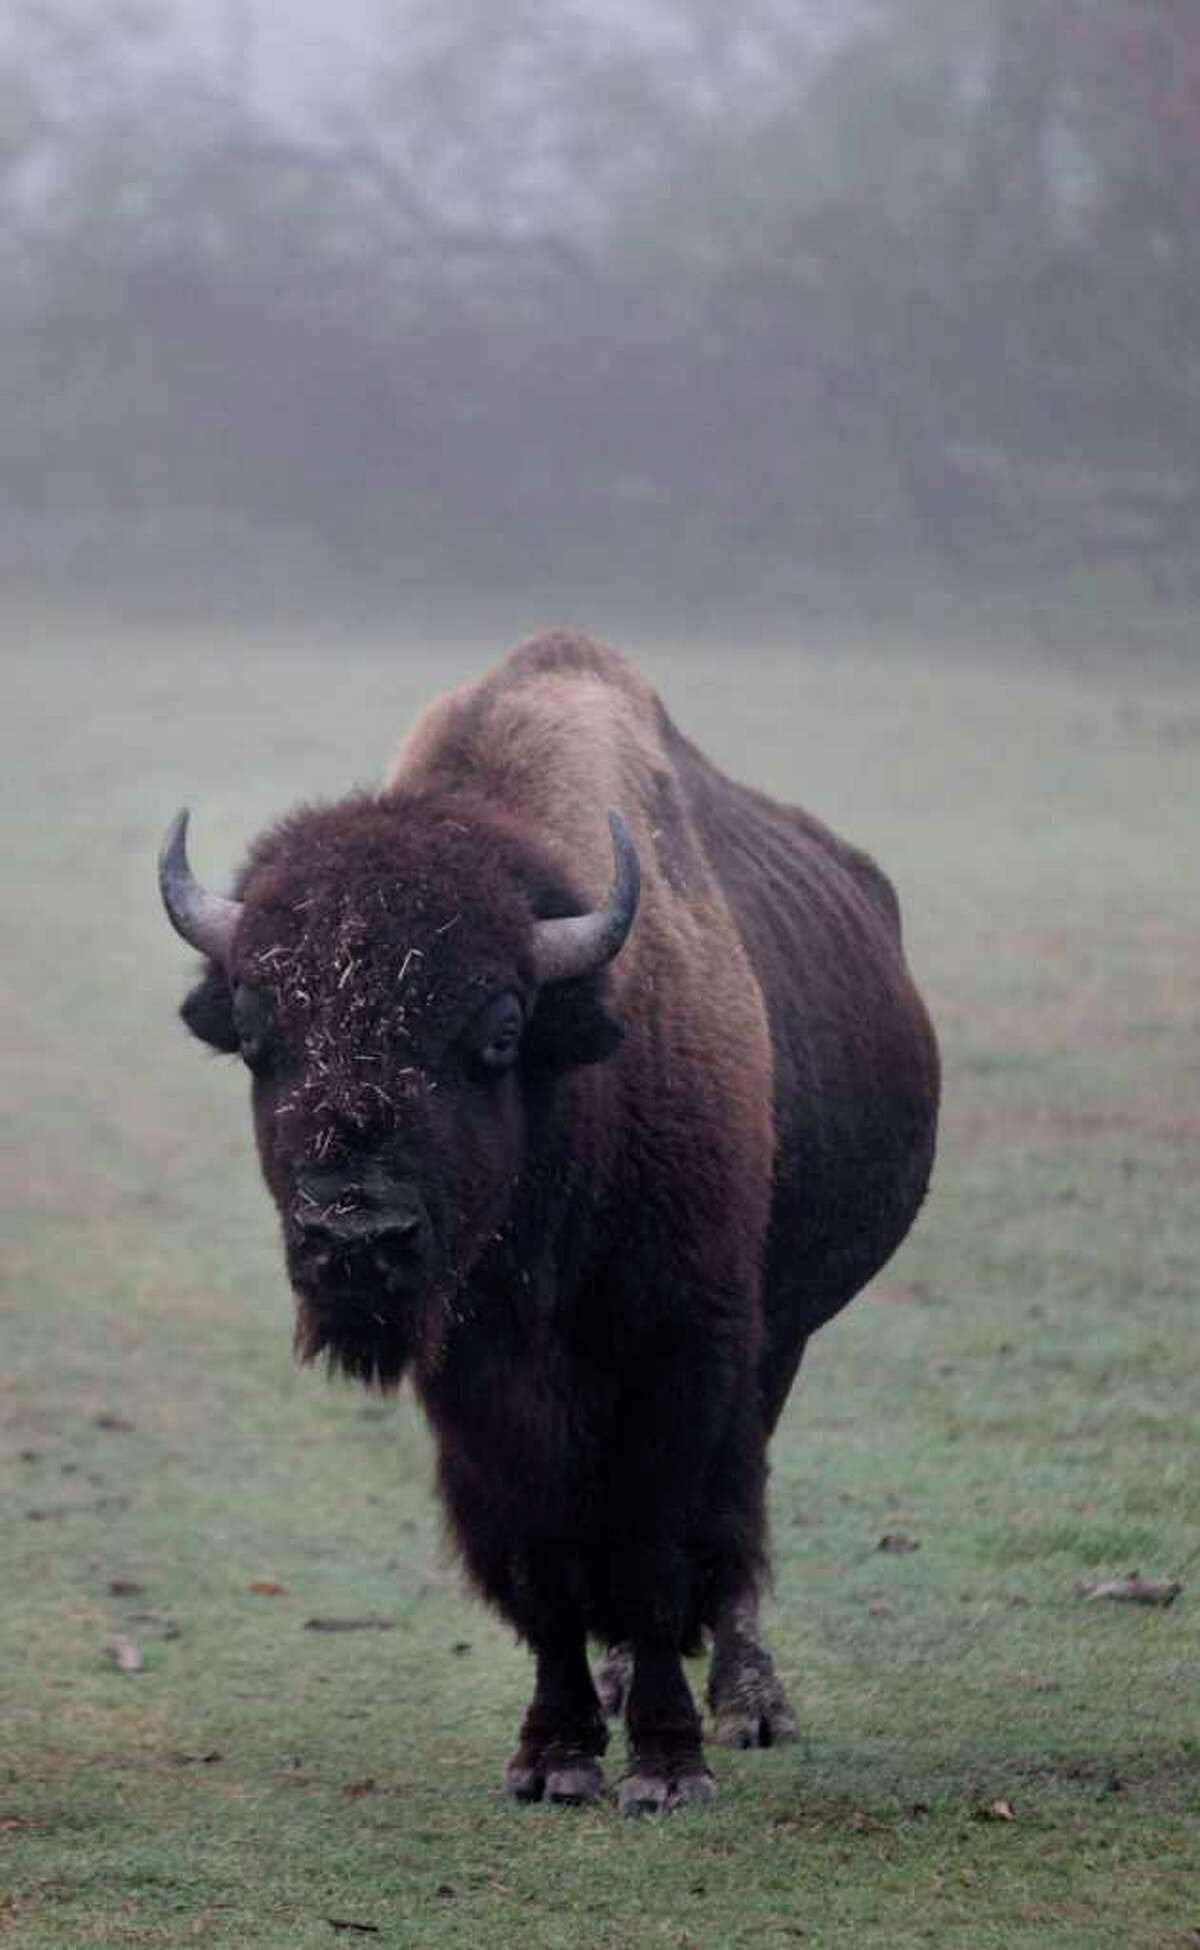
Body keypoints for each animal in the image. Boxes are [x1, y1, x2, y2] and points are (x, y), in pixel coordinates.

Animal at [159, 630, 939, 1812]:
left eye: (498, 1030)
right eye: (256, 1035)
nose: (353, 1242)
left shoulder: (684, 1347)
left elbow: (661, 1546)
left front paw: (668, 1765)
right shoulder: (476, 1382)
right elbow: (537, 1558)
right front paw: (556, 1754)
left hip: (783, 1333)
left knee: (739, 1509)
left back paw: (750, 1701)